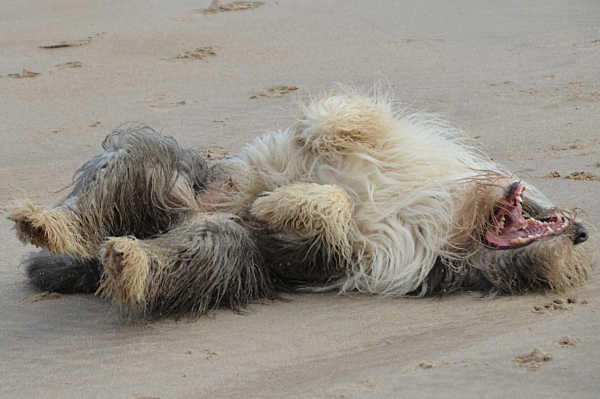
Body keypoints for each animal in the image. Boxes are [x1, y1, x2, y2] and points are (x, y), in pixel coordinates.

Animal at [8, 90, 592, 318]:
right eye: (548, 214)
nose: (583, 233)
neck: (455, 221)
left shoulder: (363, 254)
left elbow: (334, 211)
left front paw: (280, 205)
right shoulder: (396, 147)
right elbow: (338, 126)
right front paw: (300, 165)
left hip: (224, 250)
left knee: (179, 258)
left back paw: (128, 260)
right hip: (157, 164)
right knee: (112, 180)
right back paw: (43, 222)